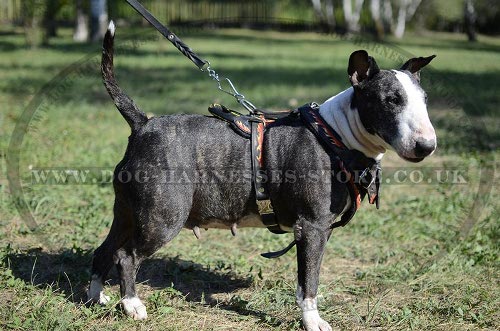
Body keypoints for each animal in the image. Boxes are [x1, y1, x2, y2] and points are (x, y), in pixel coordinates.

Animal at [88, 22, 436, 330]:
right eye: (391, 100)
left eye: (425, 100)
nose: (427, 146)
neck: (337, 135)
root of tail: (142, 124)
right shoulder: (312, 226)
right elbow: (309, 281)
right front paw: (313, 322)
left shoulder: (321, 229)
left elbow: (309, 276)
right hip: (162, 218)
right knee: (125, 256)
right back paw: (132, 305)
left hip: (128, 212)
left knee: (104, 250)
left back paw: (96, 297)